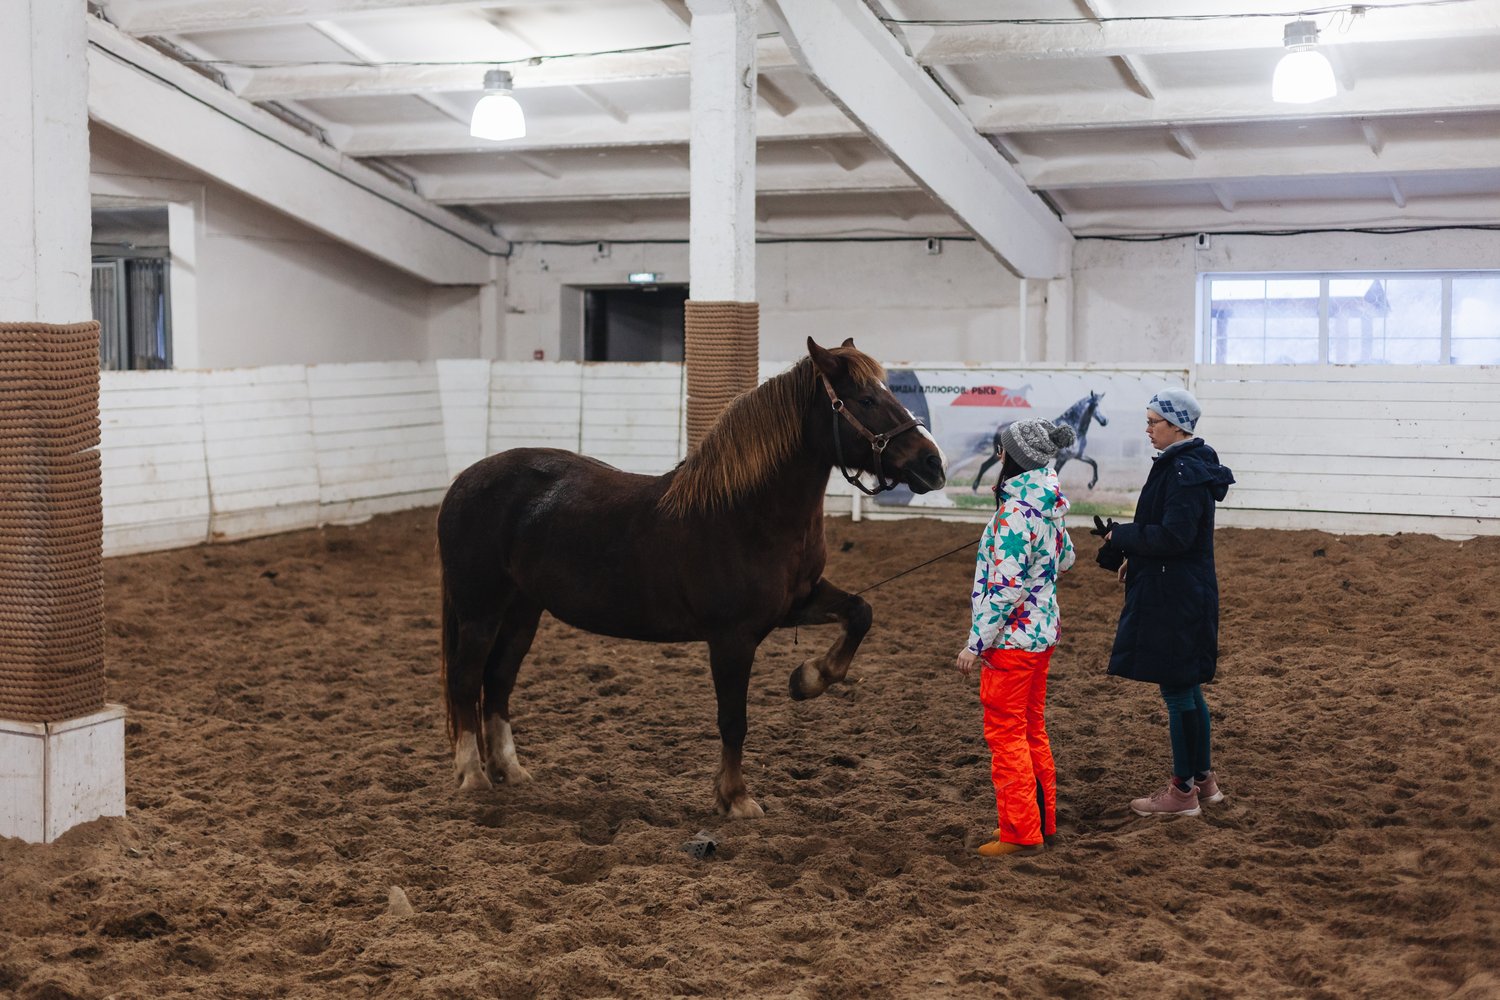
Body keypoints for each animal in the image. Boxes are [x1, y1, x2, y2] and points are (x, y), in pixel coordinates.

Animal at [438, 340, 942, 815]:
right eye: (865, 400)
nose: (933, 465)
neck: (746, 514)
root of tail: (463, 481)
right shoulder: (732, 638)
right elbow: (733, 720)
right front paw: (735, 798)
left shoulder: (797, 603)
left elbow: (860, 612)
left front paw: (808, 679)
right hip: (481, 611)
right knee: (466, 679)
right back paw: (472, 776)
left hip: (523, 611)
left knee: (498, 680)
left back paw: (509, 770)